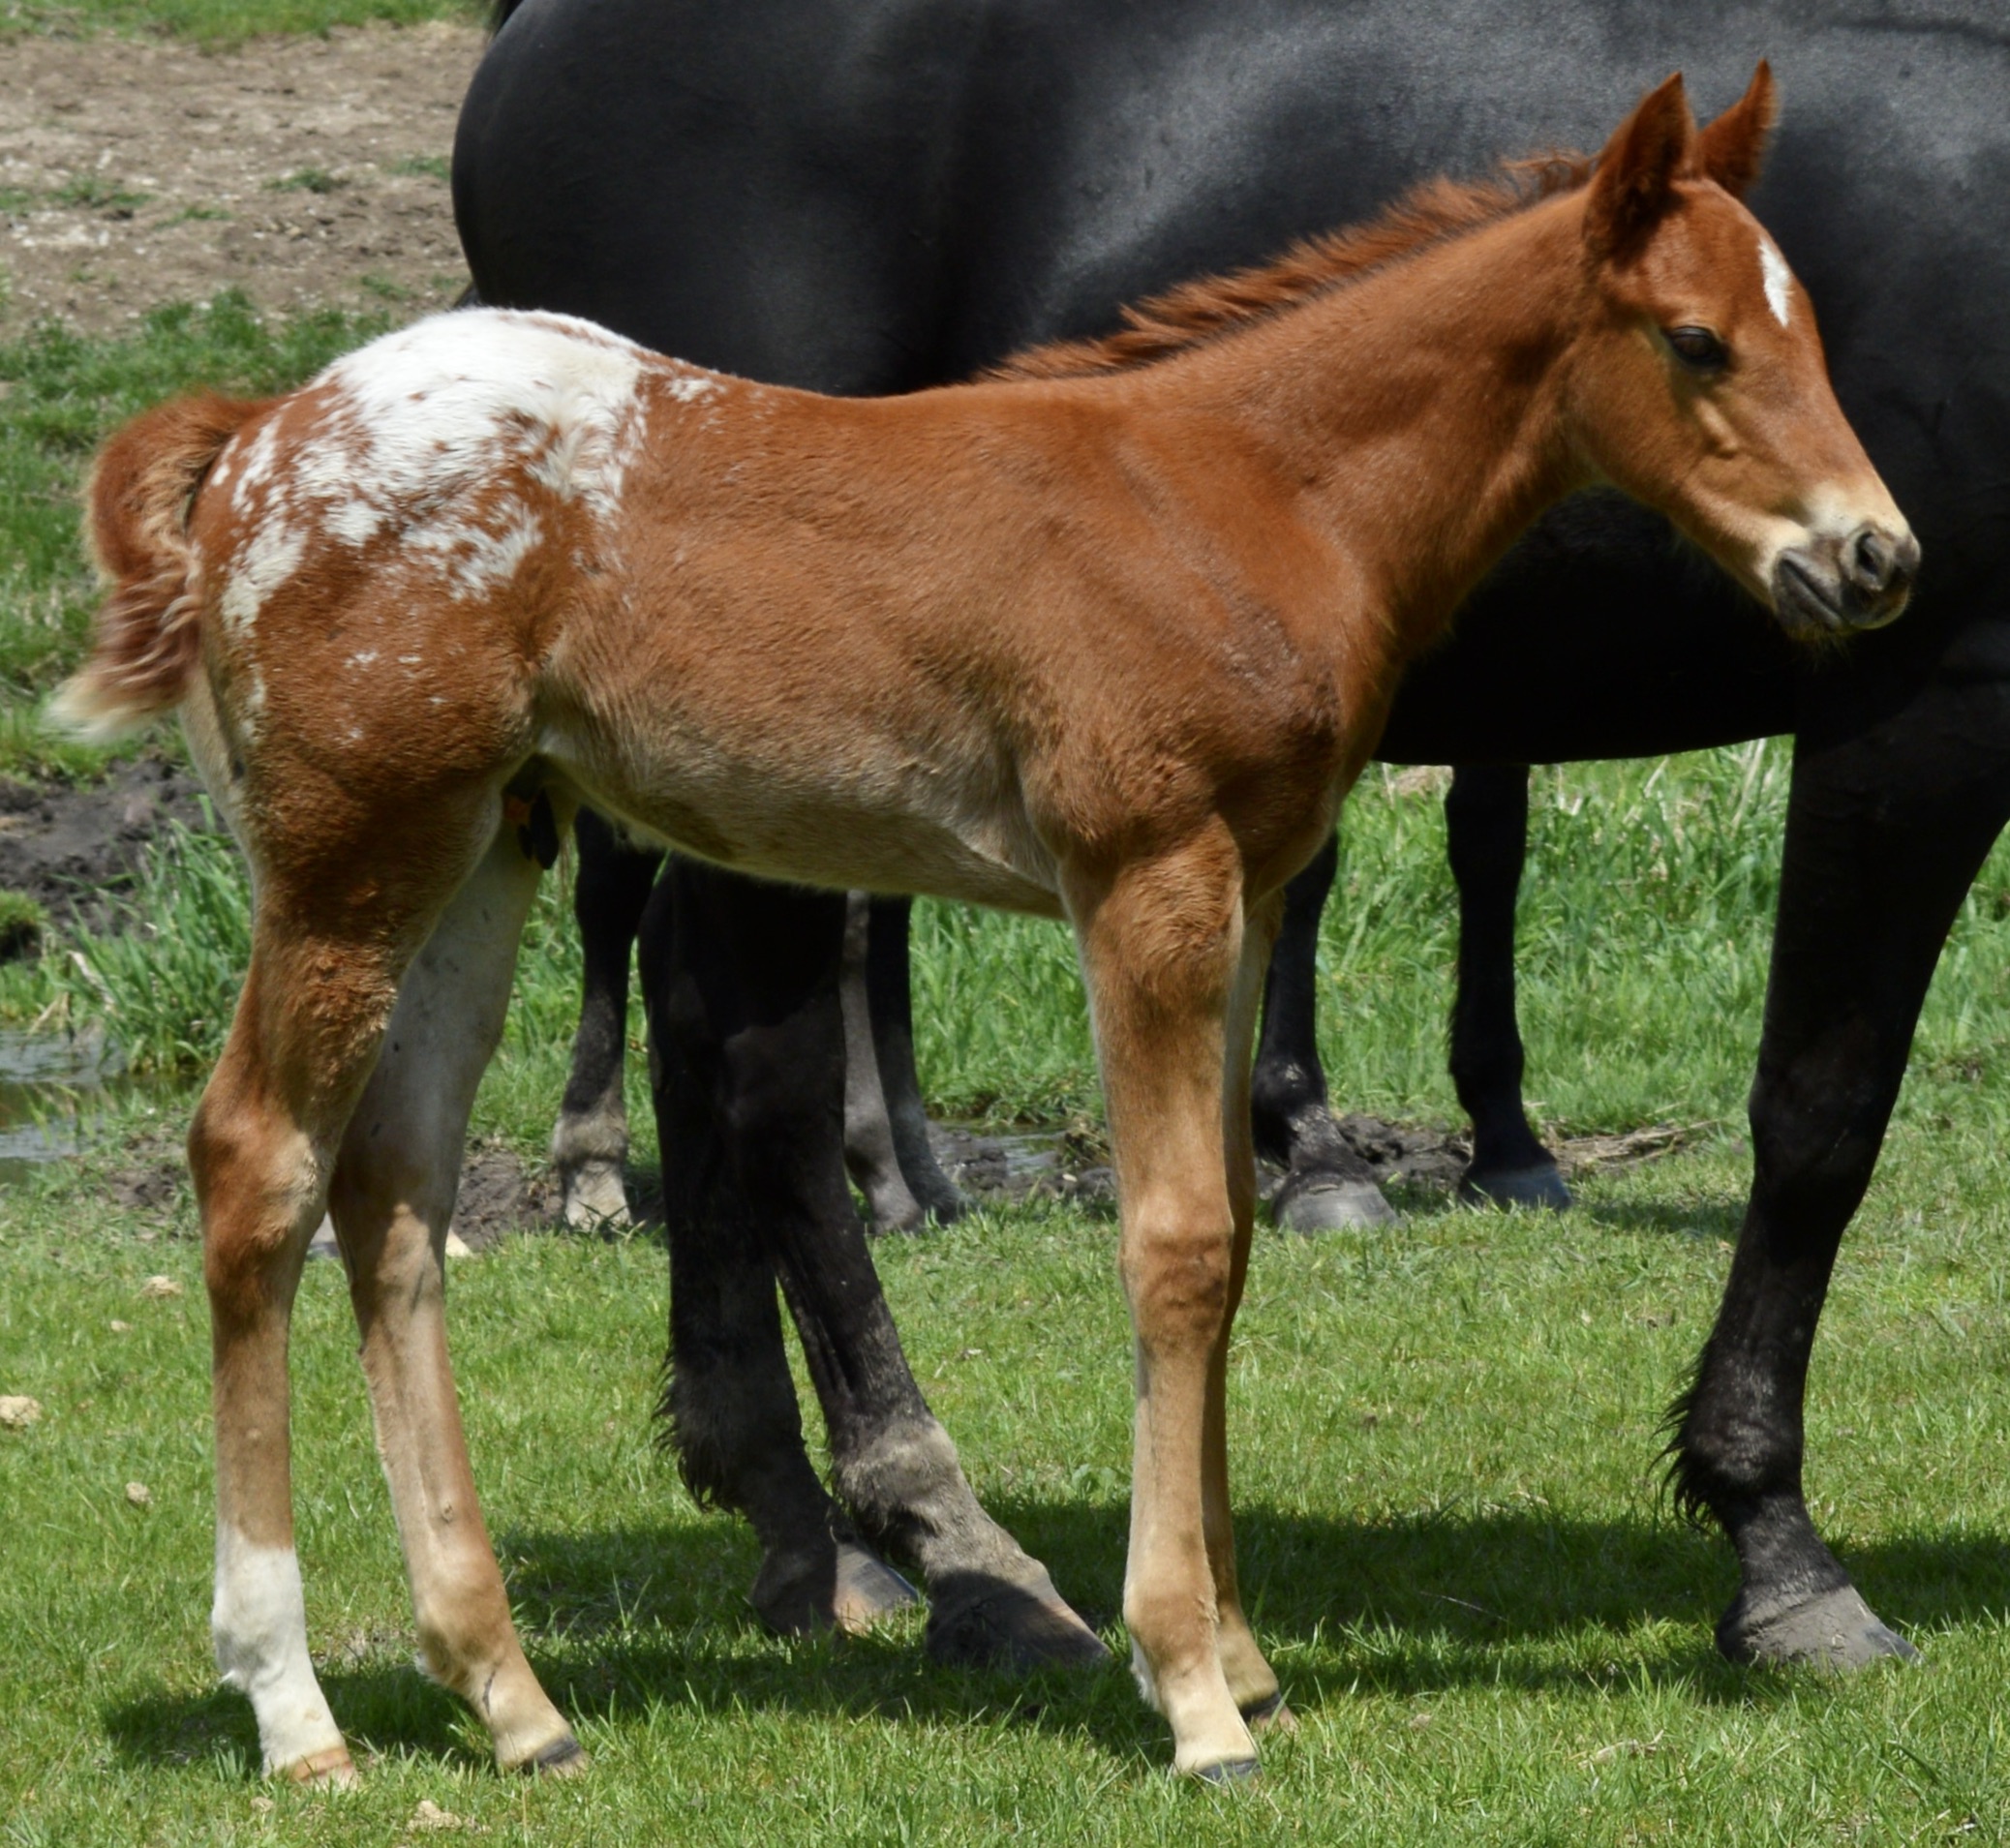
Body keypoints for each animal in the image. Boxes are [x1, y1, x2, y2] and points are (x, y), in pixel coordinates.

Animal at [60, 73, 1897, 1781]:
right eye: (1696, 341)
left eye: (1811, 332)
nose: (1876, 553)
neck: (1243, 494)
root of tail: (262, 435)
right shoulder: (1143, 877)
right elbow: (1173, 1241)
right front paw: (1189, 1687)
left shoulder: (1245, 892)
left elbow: (1234, 1230)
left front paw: (1245, 1658)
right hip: (350, 857)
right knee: (256, 1163)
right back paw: (294, 1705)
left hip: (481, 852)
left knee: (394, 1194)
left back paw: (511, 1697)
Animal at [457, 0, 2010, 1683]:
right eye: (1697, 341)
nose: (1876, 556)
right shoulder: (1927, 701)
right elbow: (1819, 1118)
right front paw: (1777, 1547)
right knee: (769, 1074)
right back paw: (946, 1538)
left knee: (703, 1023)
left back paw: (796, 1521)